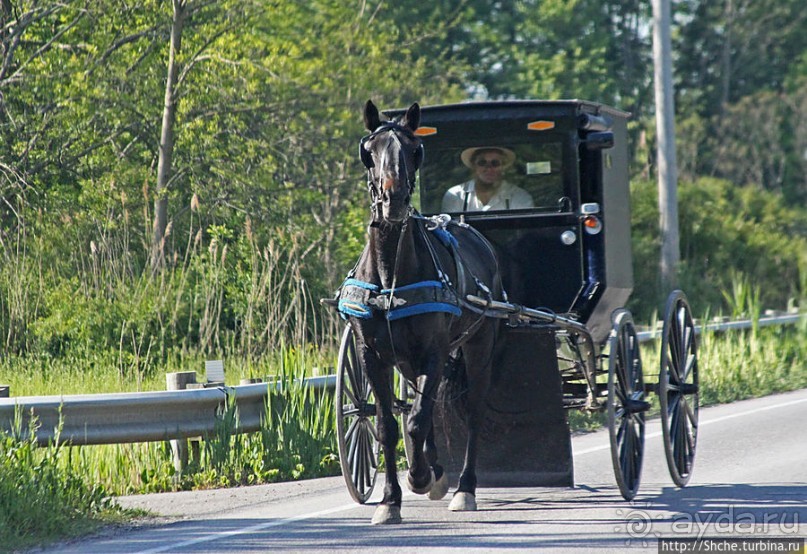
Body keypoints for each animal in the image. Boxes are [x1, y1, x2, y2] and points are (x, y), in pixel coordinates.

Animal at [340, 99, 504, 520]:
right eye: (370, 151)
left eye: (415, 151)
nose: (394, 201)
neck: (389, 277)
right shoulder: (371, 354)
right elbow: (388, 425)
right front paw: (390, 499)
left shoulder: (434, 350)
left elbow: (416, 419)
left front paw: (420, 477)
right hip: (411, 359)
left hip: (478, 344)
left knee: (470, 410)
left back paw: (463, 487)